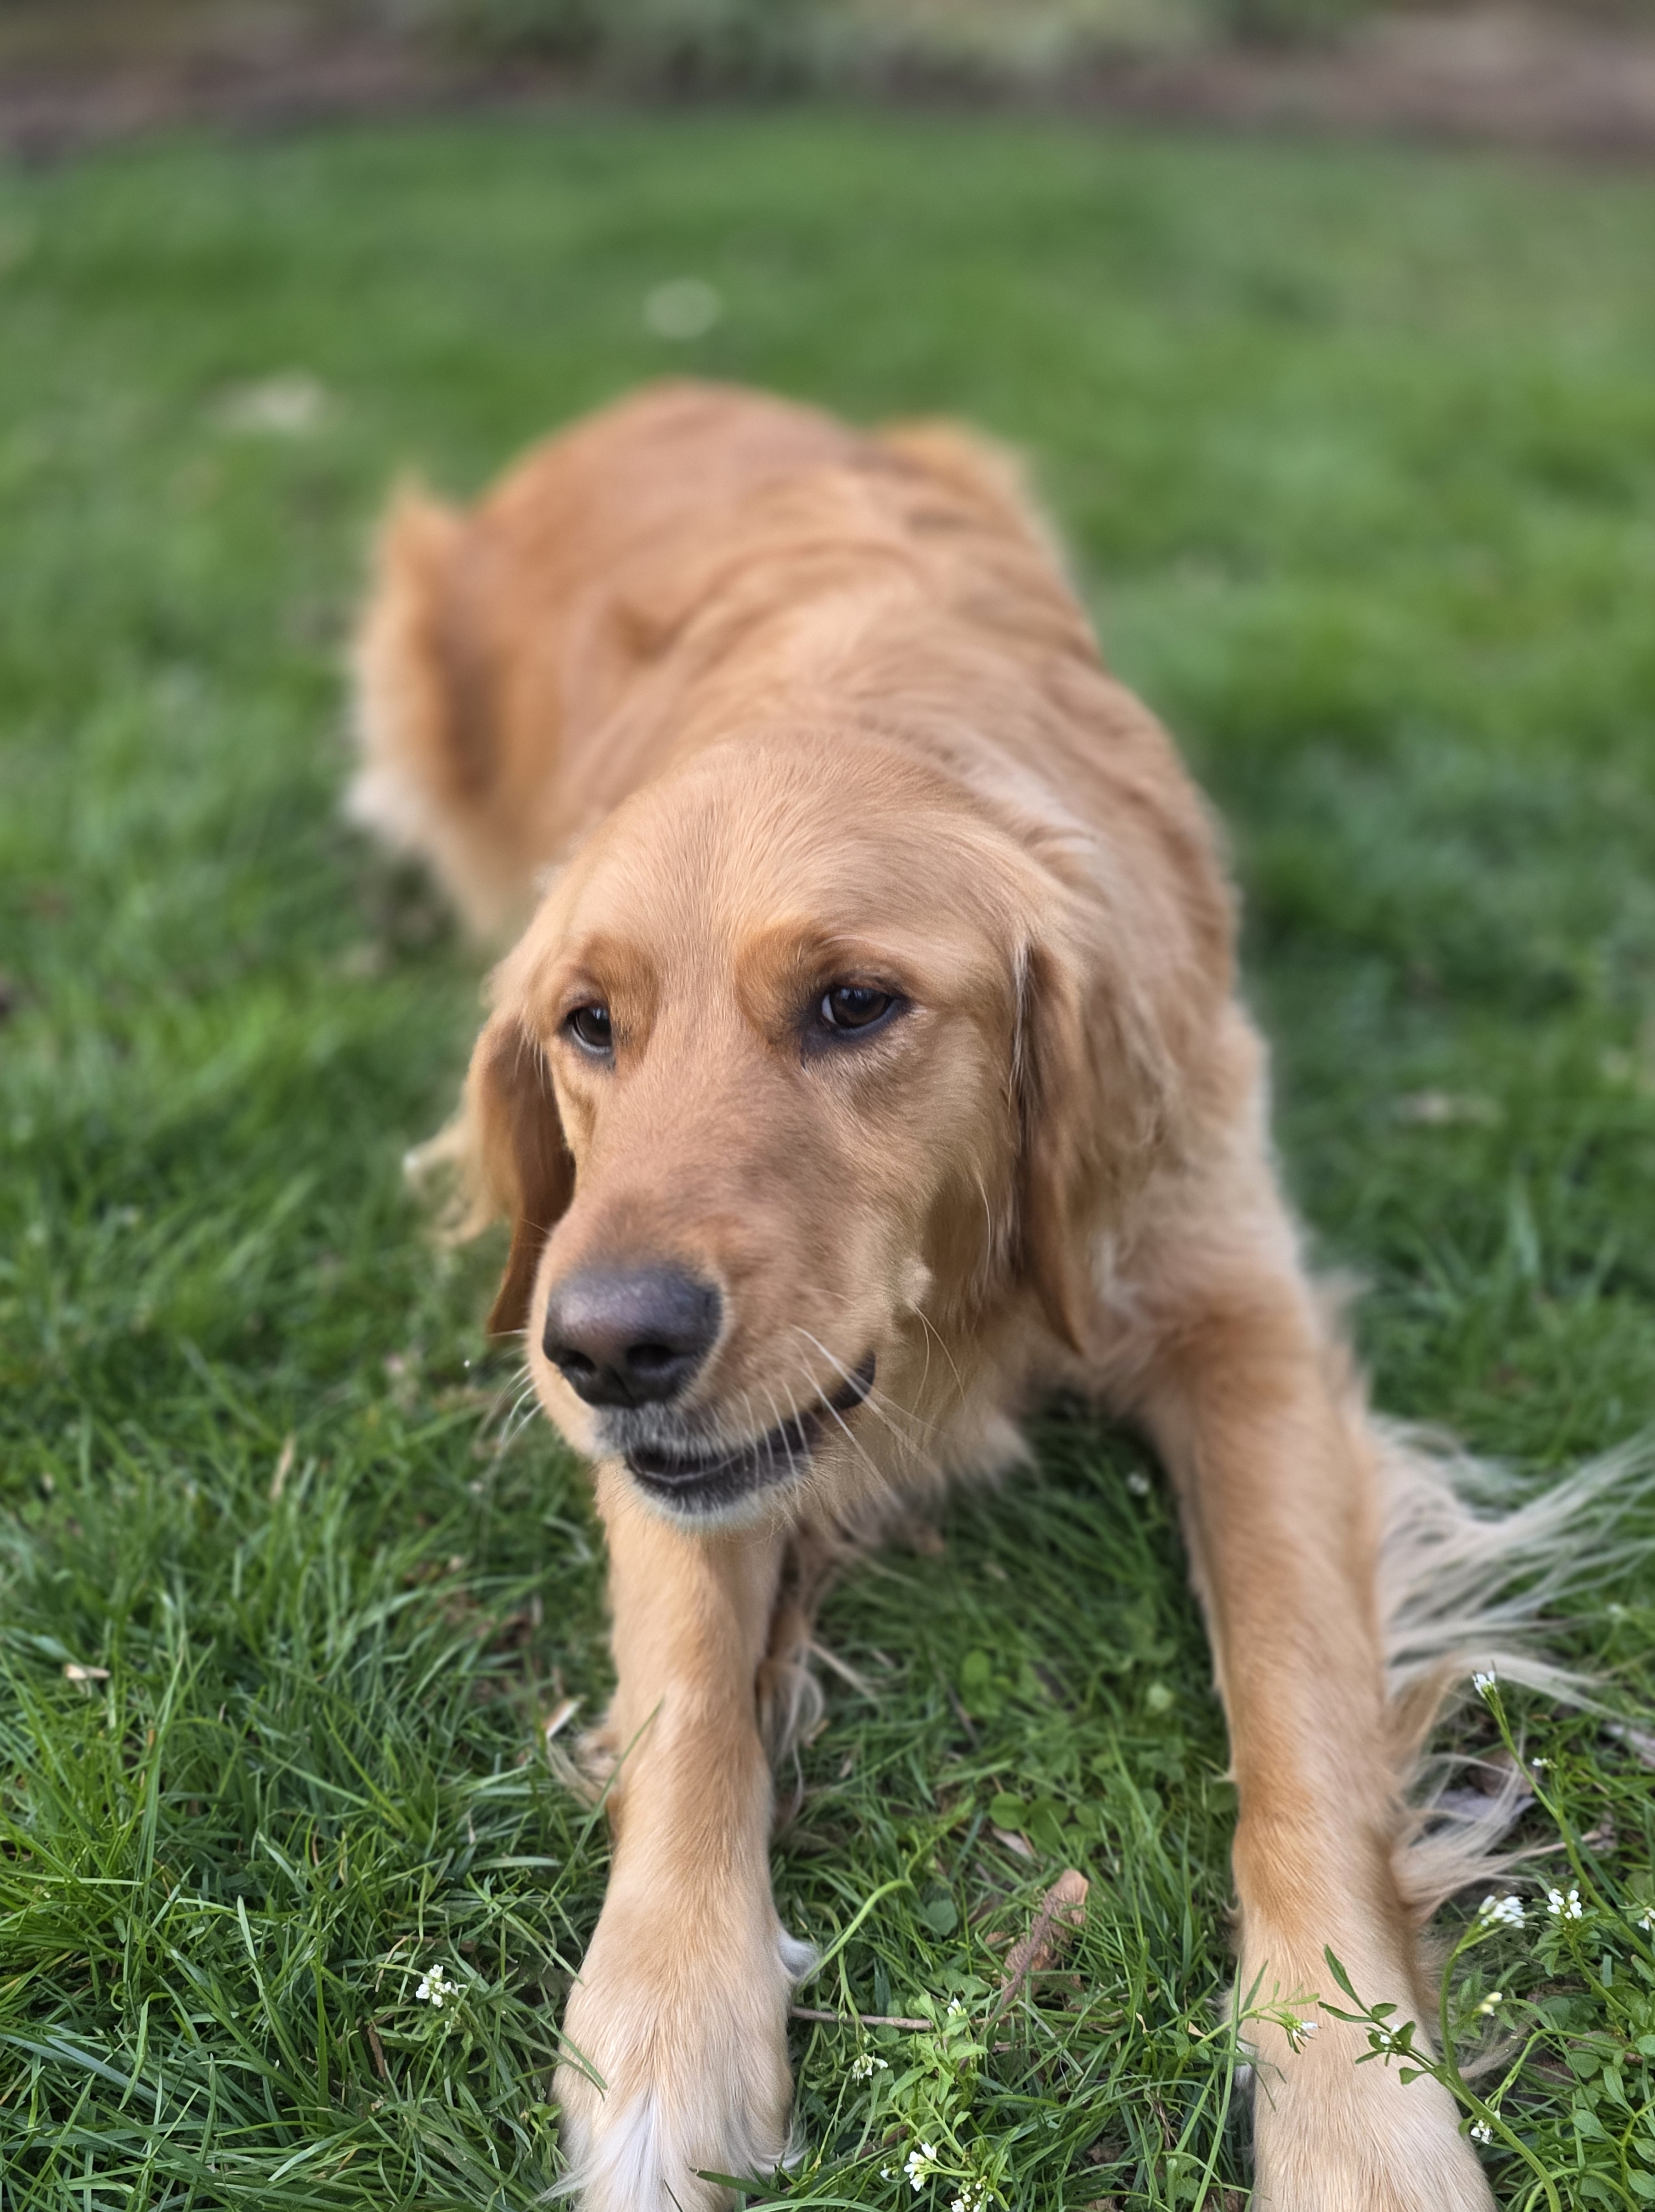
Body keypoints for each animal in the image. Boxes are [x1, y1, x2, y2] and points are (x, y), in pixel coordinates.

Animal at [349, 379, 1619, 2210]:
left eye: (855, 1003)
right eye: (590, 1024)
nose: (604, 1349)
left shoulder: (1237, 1314)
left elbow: (1299, 1722)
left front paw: (1361, 2115)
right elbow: (684, 1684)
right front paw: (663, 2025)